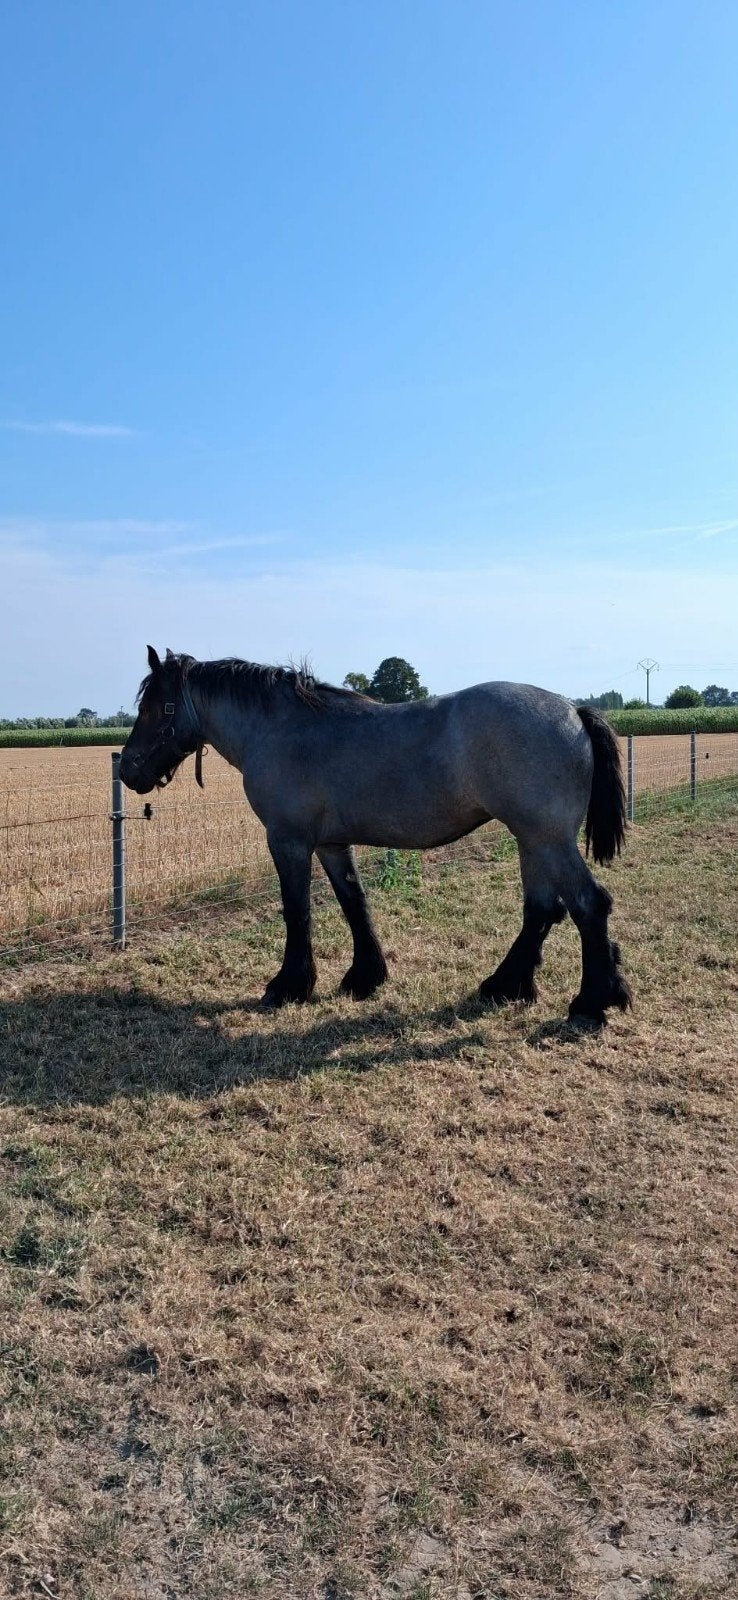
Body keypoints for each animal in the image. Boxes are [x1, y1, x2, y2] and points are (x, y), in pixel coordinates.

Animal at [119, 647, 632, 1024]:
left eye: (153, 706)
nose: (127, 769)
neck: (281, 728)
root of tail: (572, 710)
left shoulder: (288, 840)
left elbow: (297, 911)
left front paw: (289, 986)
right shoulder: (330, 844)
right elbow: (354, 903)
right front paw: (365, 977)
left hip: (548, 840)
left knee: (589, 905)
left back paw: (591, 1003)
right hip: (532, 840)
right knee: (542, 911)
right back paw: (506, 987)